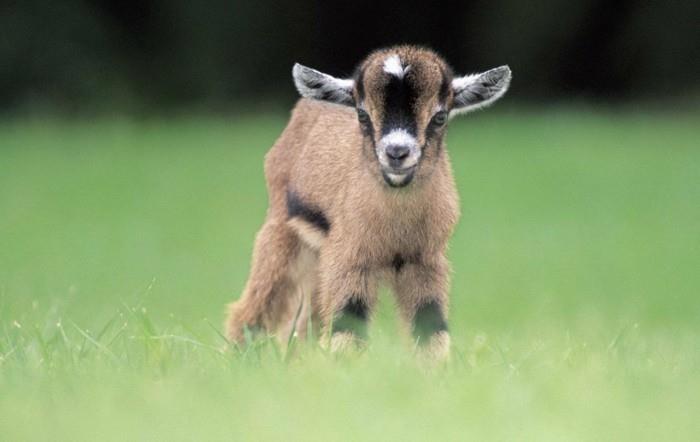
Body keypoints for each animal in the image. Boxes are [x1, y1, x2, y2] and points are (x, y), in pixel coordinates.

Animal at [227, 45, 512, 360]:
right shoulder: (350, 258)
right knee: (252, 310)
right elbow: (347, 328)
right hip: (283, 234)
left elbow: (430, 328)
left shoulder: (425, 262)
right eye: (362, 115)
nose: (397, 153)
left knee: (305, 325)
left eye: (440, 117)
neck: (396, 228)